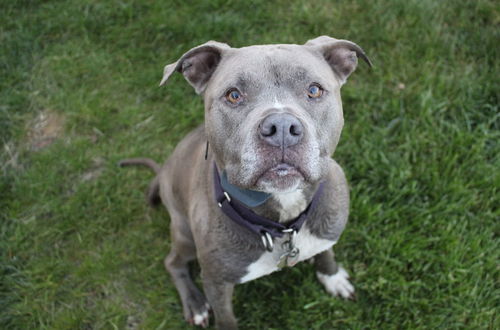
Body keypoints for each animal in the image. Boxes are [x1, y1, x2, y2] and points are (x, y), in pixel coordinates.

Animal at [120, 34, 372, 328]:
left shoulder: (327, 231)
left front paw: (332, 276)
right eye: (233, 95)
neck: (282, 224)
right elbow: (226, 318)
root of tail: (163, 170)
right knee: (173, 262)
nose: (281, 128)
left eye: (314, 90)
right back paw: (195, 304)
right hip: (184, 233)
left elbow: (326, 252)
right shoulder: (216, 282)